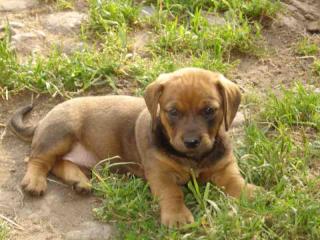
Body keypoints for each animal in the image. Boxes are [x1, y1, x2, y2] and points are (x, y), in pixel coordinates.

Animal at [8, 67, 258, 227]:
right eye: (173, 112)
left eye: (209, 111)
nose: (191, 142)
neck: (192, 158)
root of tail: (44, 119)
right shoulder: (161, 174)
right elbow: (172, 193)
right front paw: (177, 216)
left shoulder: (224, 166)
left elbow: (235, 181)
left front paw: (250, 193)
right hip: (60, 134)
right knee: (38, 160)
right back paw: (34, 182)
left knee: (59, 164)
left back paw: (79, 181)